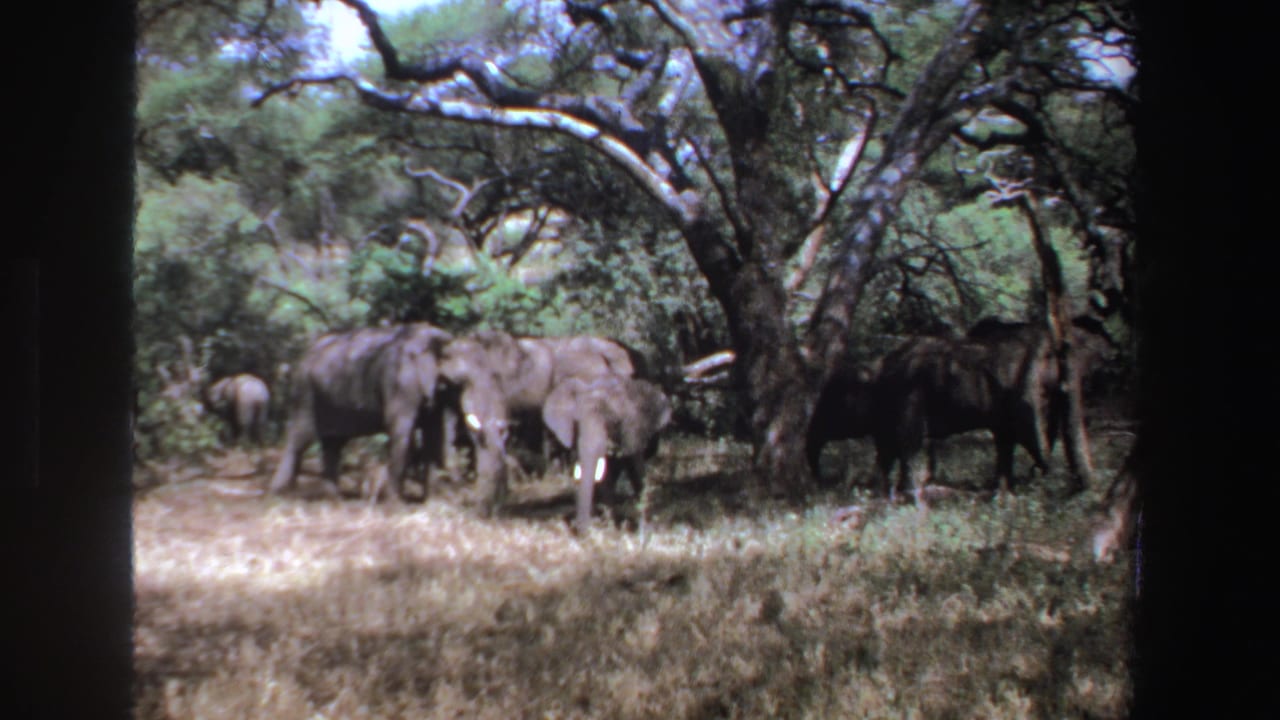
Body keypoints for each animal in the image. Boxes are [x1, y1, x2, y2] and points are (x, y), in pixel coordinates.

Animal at [268, 322, 454, 503]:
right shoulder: (400, 381)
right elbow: (399, 426)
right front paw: (396, 502)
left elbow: (433, 430)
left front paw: (430, 501)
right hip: (306, 391)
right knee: (300, 438)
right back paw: (282, 493)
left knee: (333, 444)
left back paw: (334, 497)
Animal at [542, 375, 672, 533]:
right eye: (577, 423)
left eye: (612, 422)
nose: (582, 532)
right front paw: (609, 525)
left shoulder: (633, 429)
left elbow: (635, 468)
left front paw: (643, 529)